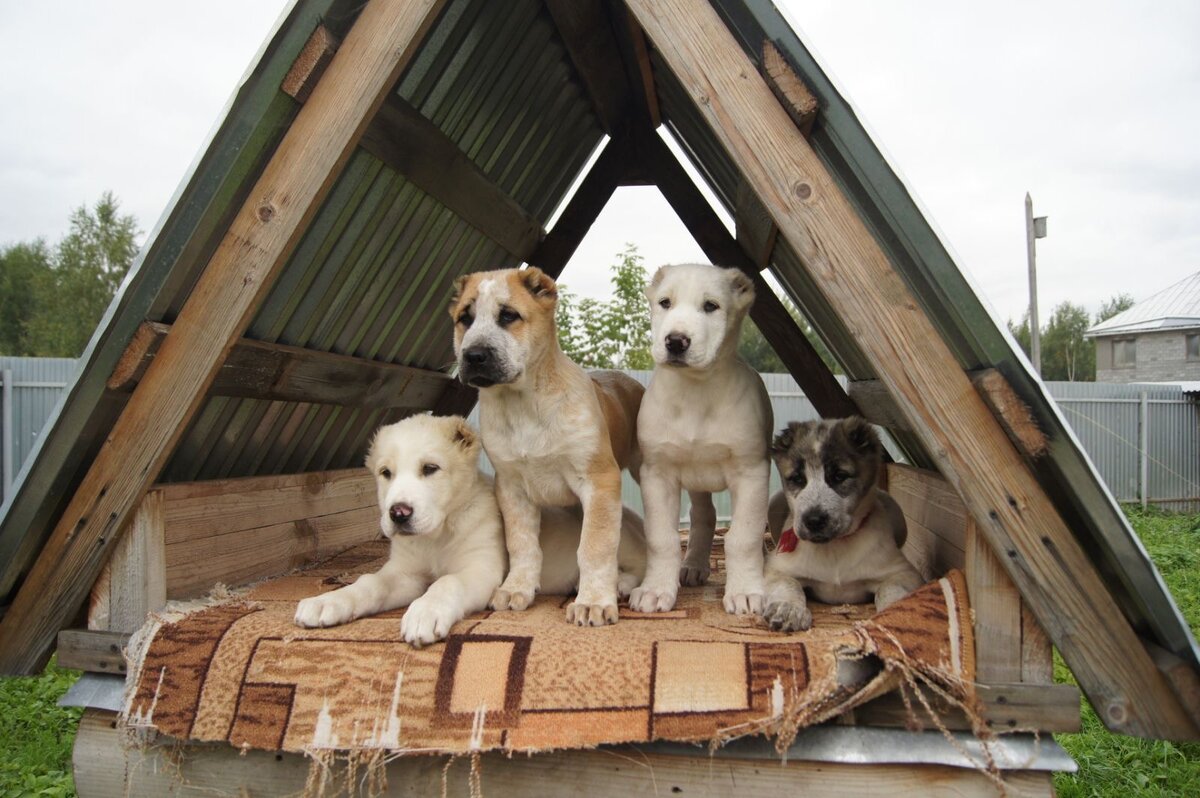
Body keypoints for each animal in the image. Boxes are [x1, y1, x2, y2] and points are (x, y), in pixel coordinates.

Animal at [290, 412, 648, 643]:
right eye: (385, 473)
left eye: (430, 468)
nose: (398, 514)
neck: (436, 536)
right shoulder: (404, 573)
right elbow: (369, 583)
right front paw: (329, 601)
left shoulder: (482, 570)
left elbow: (446, 582)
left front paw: (425, 612)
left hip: (624, 541)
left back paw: (619, 585)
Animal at [633, 264, 772, 612]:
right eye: (665, 302)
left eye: (711, 306)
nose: (676, 342)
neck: (696, 391)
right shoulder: (657, 474)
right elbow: (662, 538)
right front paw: (656, 589)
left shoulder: (751, 473)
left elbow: (743, 537)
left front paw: (746, 590)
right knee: (703, 516)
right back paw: (694, 564)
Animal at [763, 412, 921, 633]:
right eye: (797, 478)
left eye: (839, 476)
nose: (813, 520)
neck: (834, 549)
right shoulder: (777, 568)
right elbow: (788, 585)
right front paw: (788, 609)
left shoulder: (905, 572)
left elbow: (890, 588)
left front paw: (894, 614)